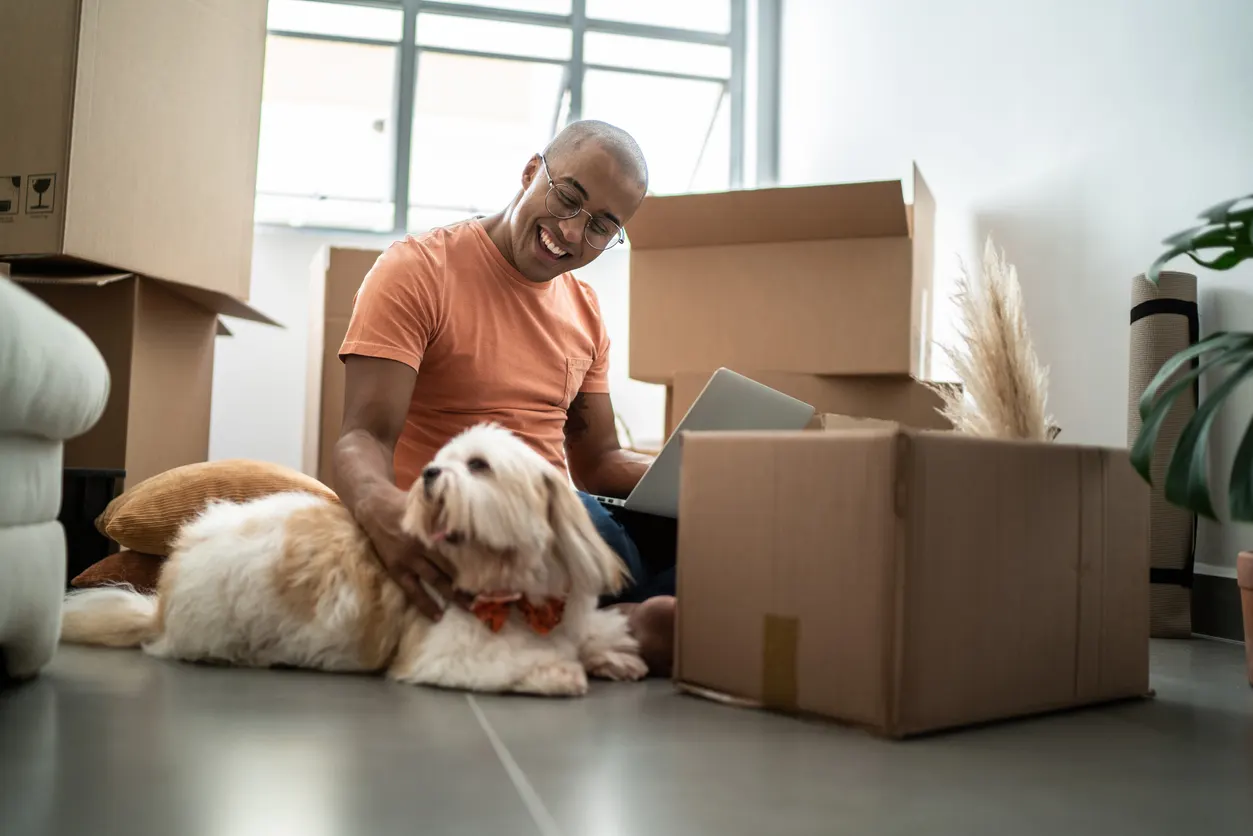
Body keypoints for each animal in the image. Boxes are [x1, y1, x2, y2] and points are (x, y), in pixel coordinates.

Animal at [58, 426, 646, 691]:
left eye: (478, 465)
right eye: (441, 461)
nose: (430, 474)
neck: (508, 582)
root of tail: (160, 602)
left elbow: (591, 634)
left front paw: (611, 654)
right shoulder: (444, 652)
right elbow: (514, 661)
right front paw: (559, 671)